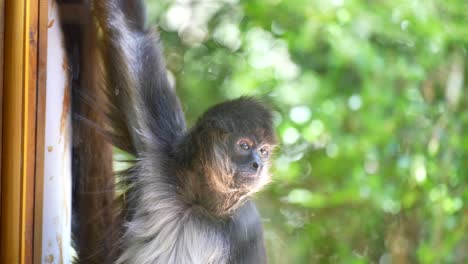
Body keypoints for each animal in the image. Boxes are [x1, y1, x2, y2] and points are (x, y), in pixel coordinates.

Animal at [93, 1, 276, 262]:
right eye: (244, 145)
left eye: (263, 151)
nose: (257, 165)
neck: (196, 201)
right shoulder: (159, 153)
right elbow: (132, 29)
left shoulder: (246, 223)